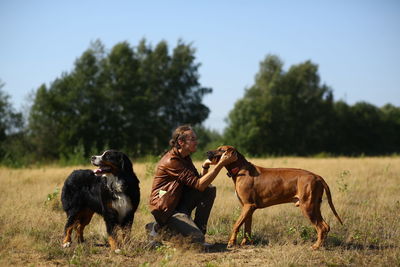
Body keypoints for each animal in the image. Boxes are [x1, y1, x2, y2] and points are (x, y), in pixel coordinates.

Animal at [208, 146, 342, 250]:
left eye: (221, 150)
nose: (207, 152)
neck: (241, 169)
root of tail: (317, 176)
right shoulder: (248, 208)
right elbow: (247, 227)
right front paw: (246, 243)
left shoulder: (248, 206)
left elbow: (236, 225)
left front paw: (231, 243)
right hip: (314, 206)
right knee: (326, 226)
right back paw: (321, 245)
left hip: (307, 207)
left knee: (321, 227)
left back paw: (316, 246)